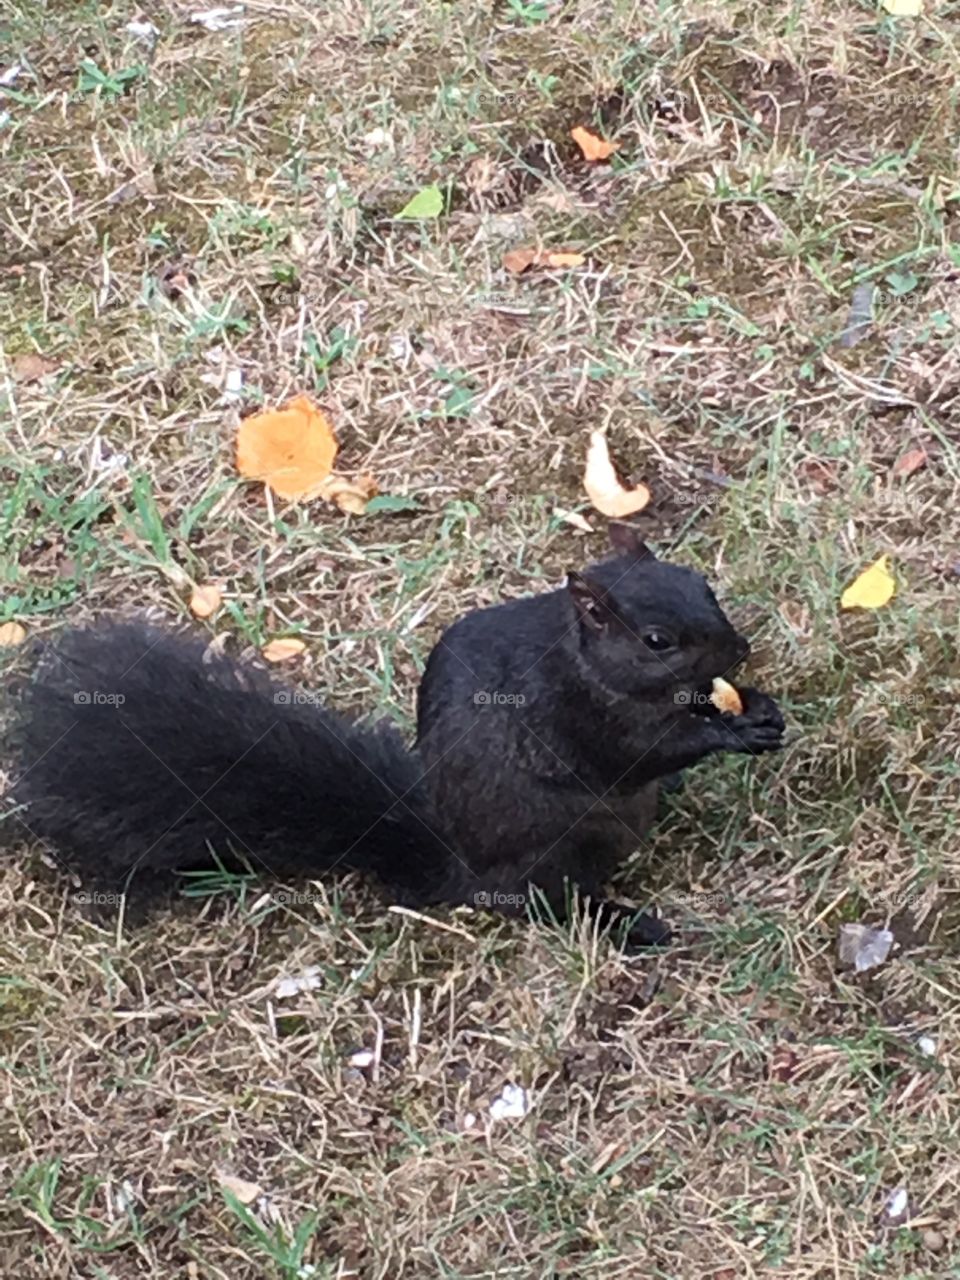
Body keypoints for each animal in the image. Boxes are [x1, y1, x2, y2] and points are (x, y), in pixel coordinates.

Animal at [7, 523, 785, 945]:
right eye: (656, 640)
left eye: (704, 585)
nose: (740, 649)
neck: (589, 660)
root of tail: (462, 872)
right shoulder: (582, 714)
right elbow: (638, 751)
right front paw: (730, 733)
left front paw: (755, 706)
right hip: (566, 843)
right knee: (550, 906)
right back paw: (629, 927)